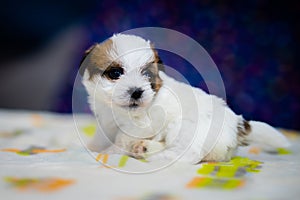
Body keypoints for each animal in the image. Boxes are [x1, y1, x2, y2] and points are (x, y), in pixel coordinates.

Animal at [78, 33, 290, 163]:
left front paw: (108, 152)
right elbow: (102, 136)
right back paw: (144, 148)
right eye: (115, 73)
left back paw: (153, 157)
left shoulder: (143, 125)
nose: (137, 91)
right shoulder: (105, 122)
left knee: (188, 153)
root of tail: (237, 123)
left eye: (147, 74)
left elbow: (122, 139)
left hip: (184, 128)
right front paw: (94, 147)